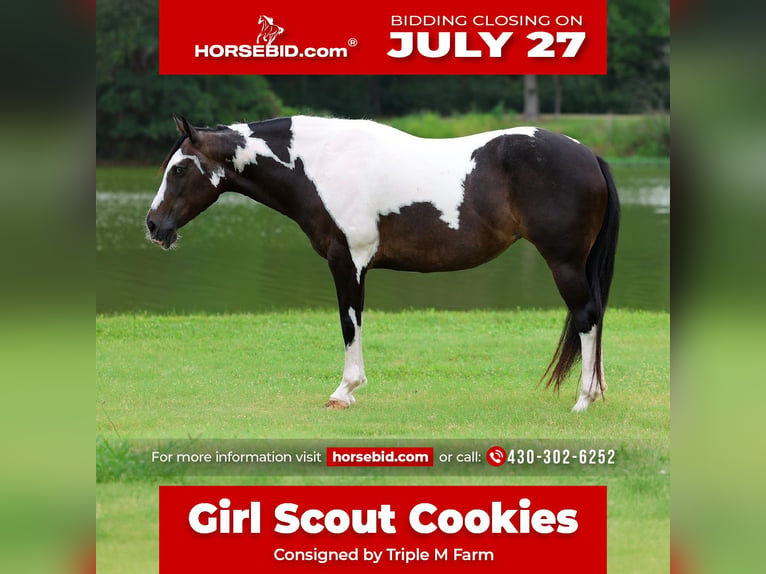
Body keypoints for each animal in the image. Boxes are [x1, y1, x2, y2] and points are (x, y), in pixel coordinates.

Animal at [146, 115, 619, 412]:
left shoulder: (347, 262)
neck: (322, 164)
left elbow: (349, 322)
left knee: (586, 317)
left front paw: (344, 391)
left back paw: (584, 399)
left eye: (180, 170)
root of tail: (589, 155)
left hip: (565, 263)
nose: (153, 225)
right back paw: (595, 391)